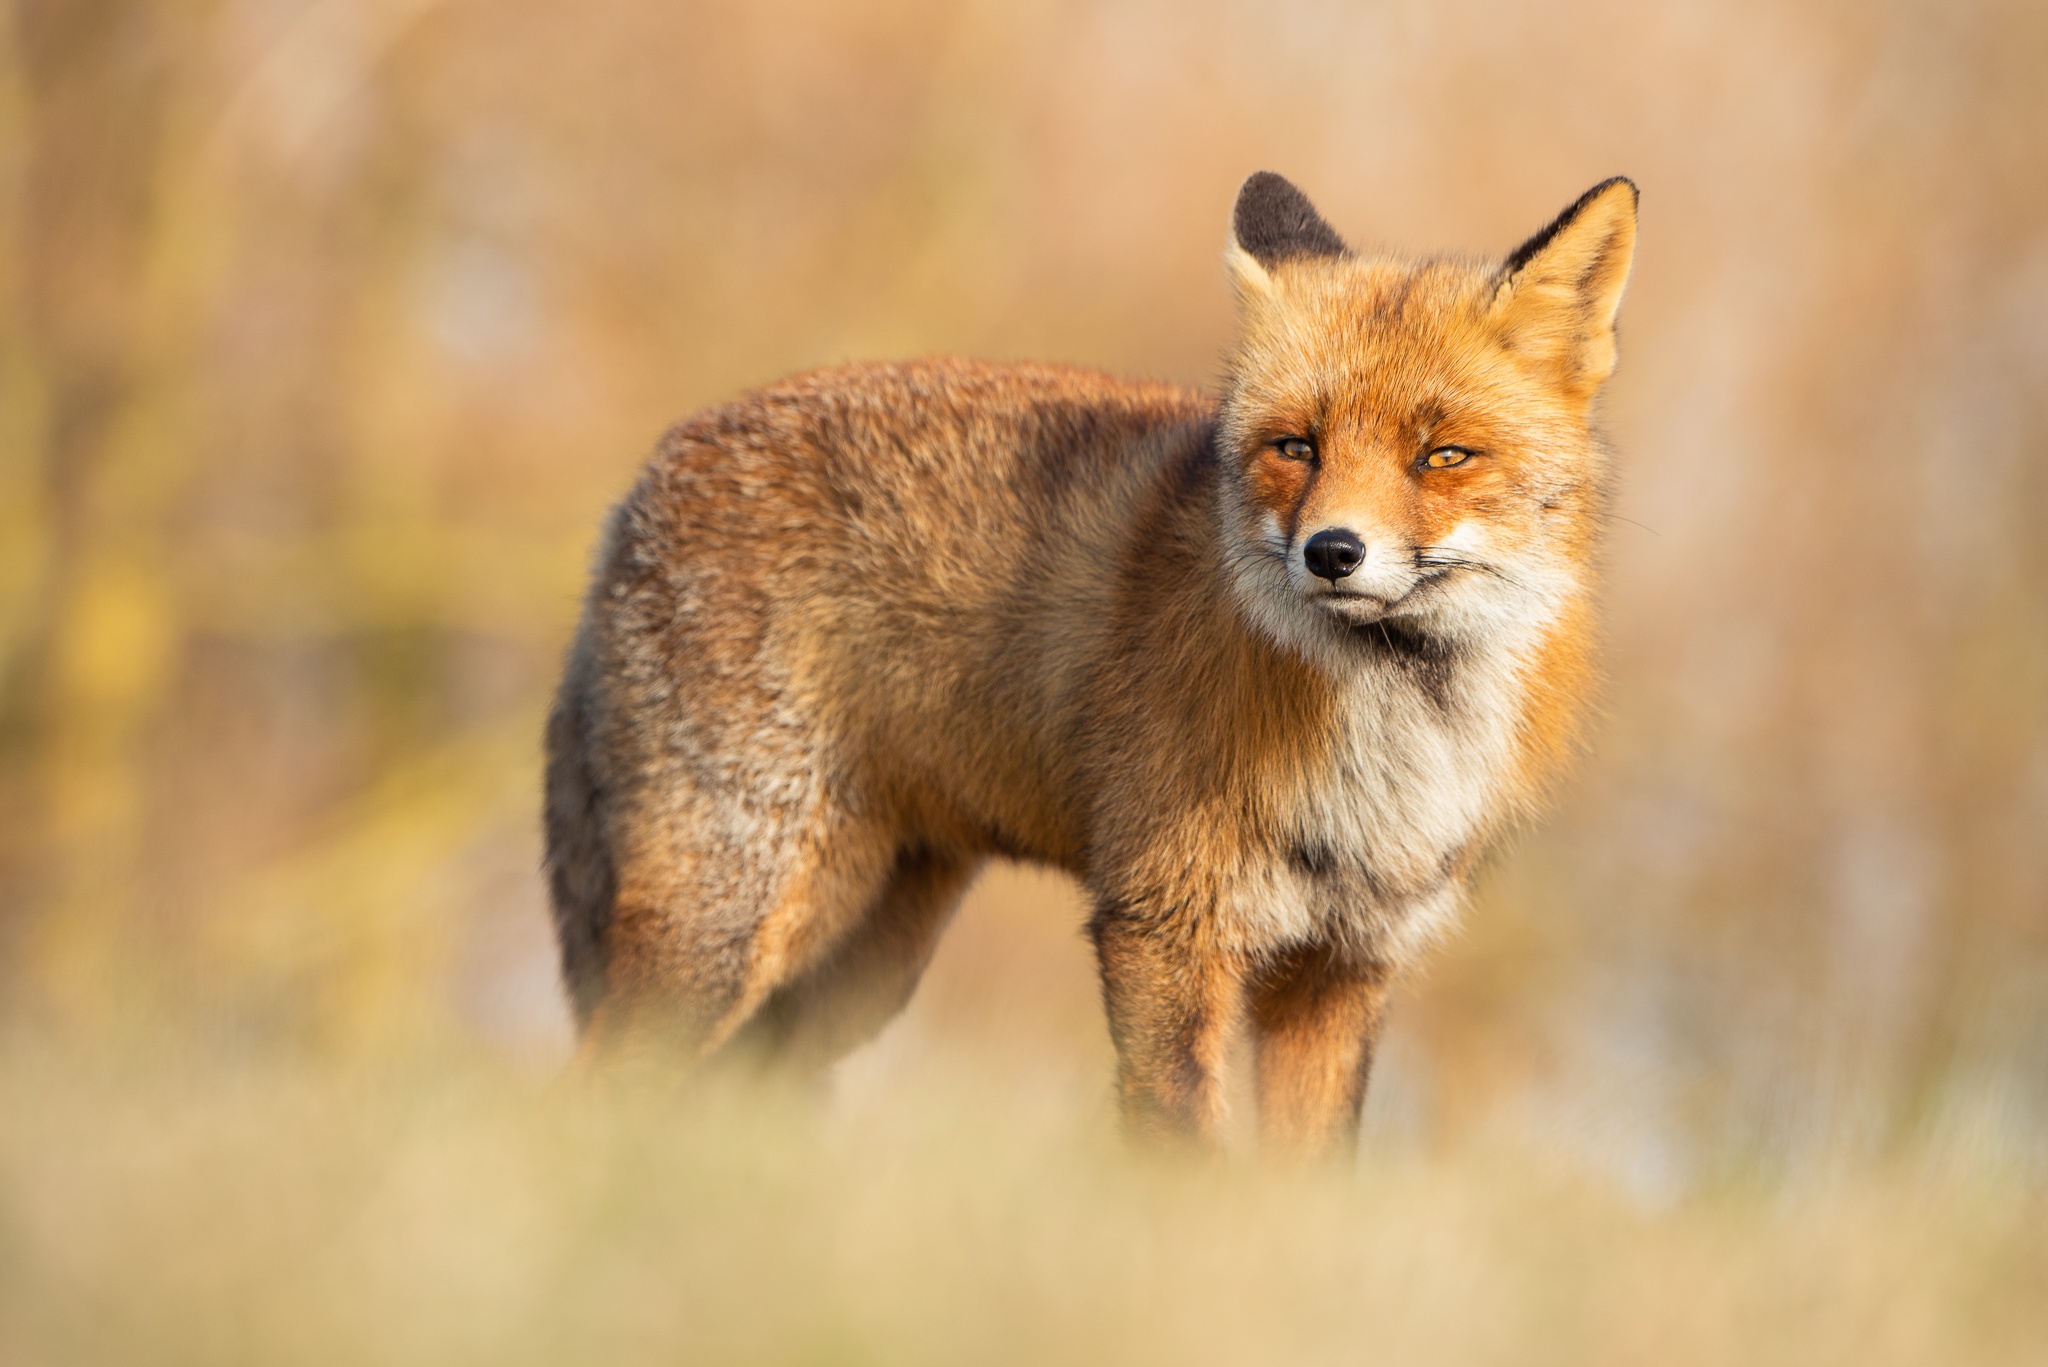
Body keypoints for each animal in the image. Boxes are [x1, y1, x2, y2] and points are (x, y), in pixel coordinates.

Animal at [540, 171, 1630, 1155]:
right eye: (1296, 447)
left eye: (1443, 455)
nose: (1331, 551)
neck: (1393, 725)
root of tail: (644, 479)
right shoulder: (1162, 920)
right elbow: (1178, 1146)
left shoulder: (1345, 959)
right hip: (728, 921)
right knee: (595, 1089)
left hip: (860, 962)